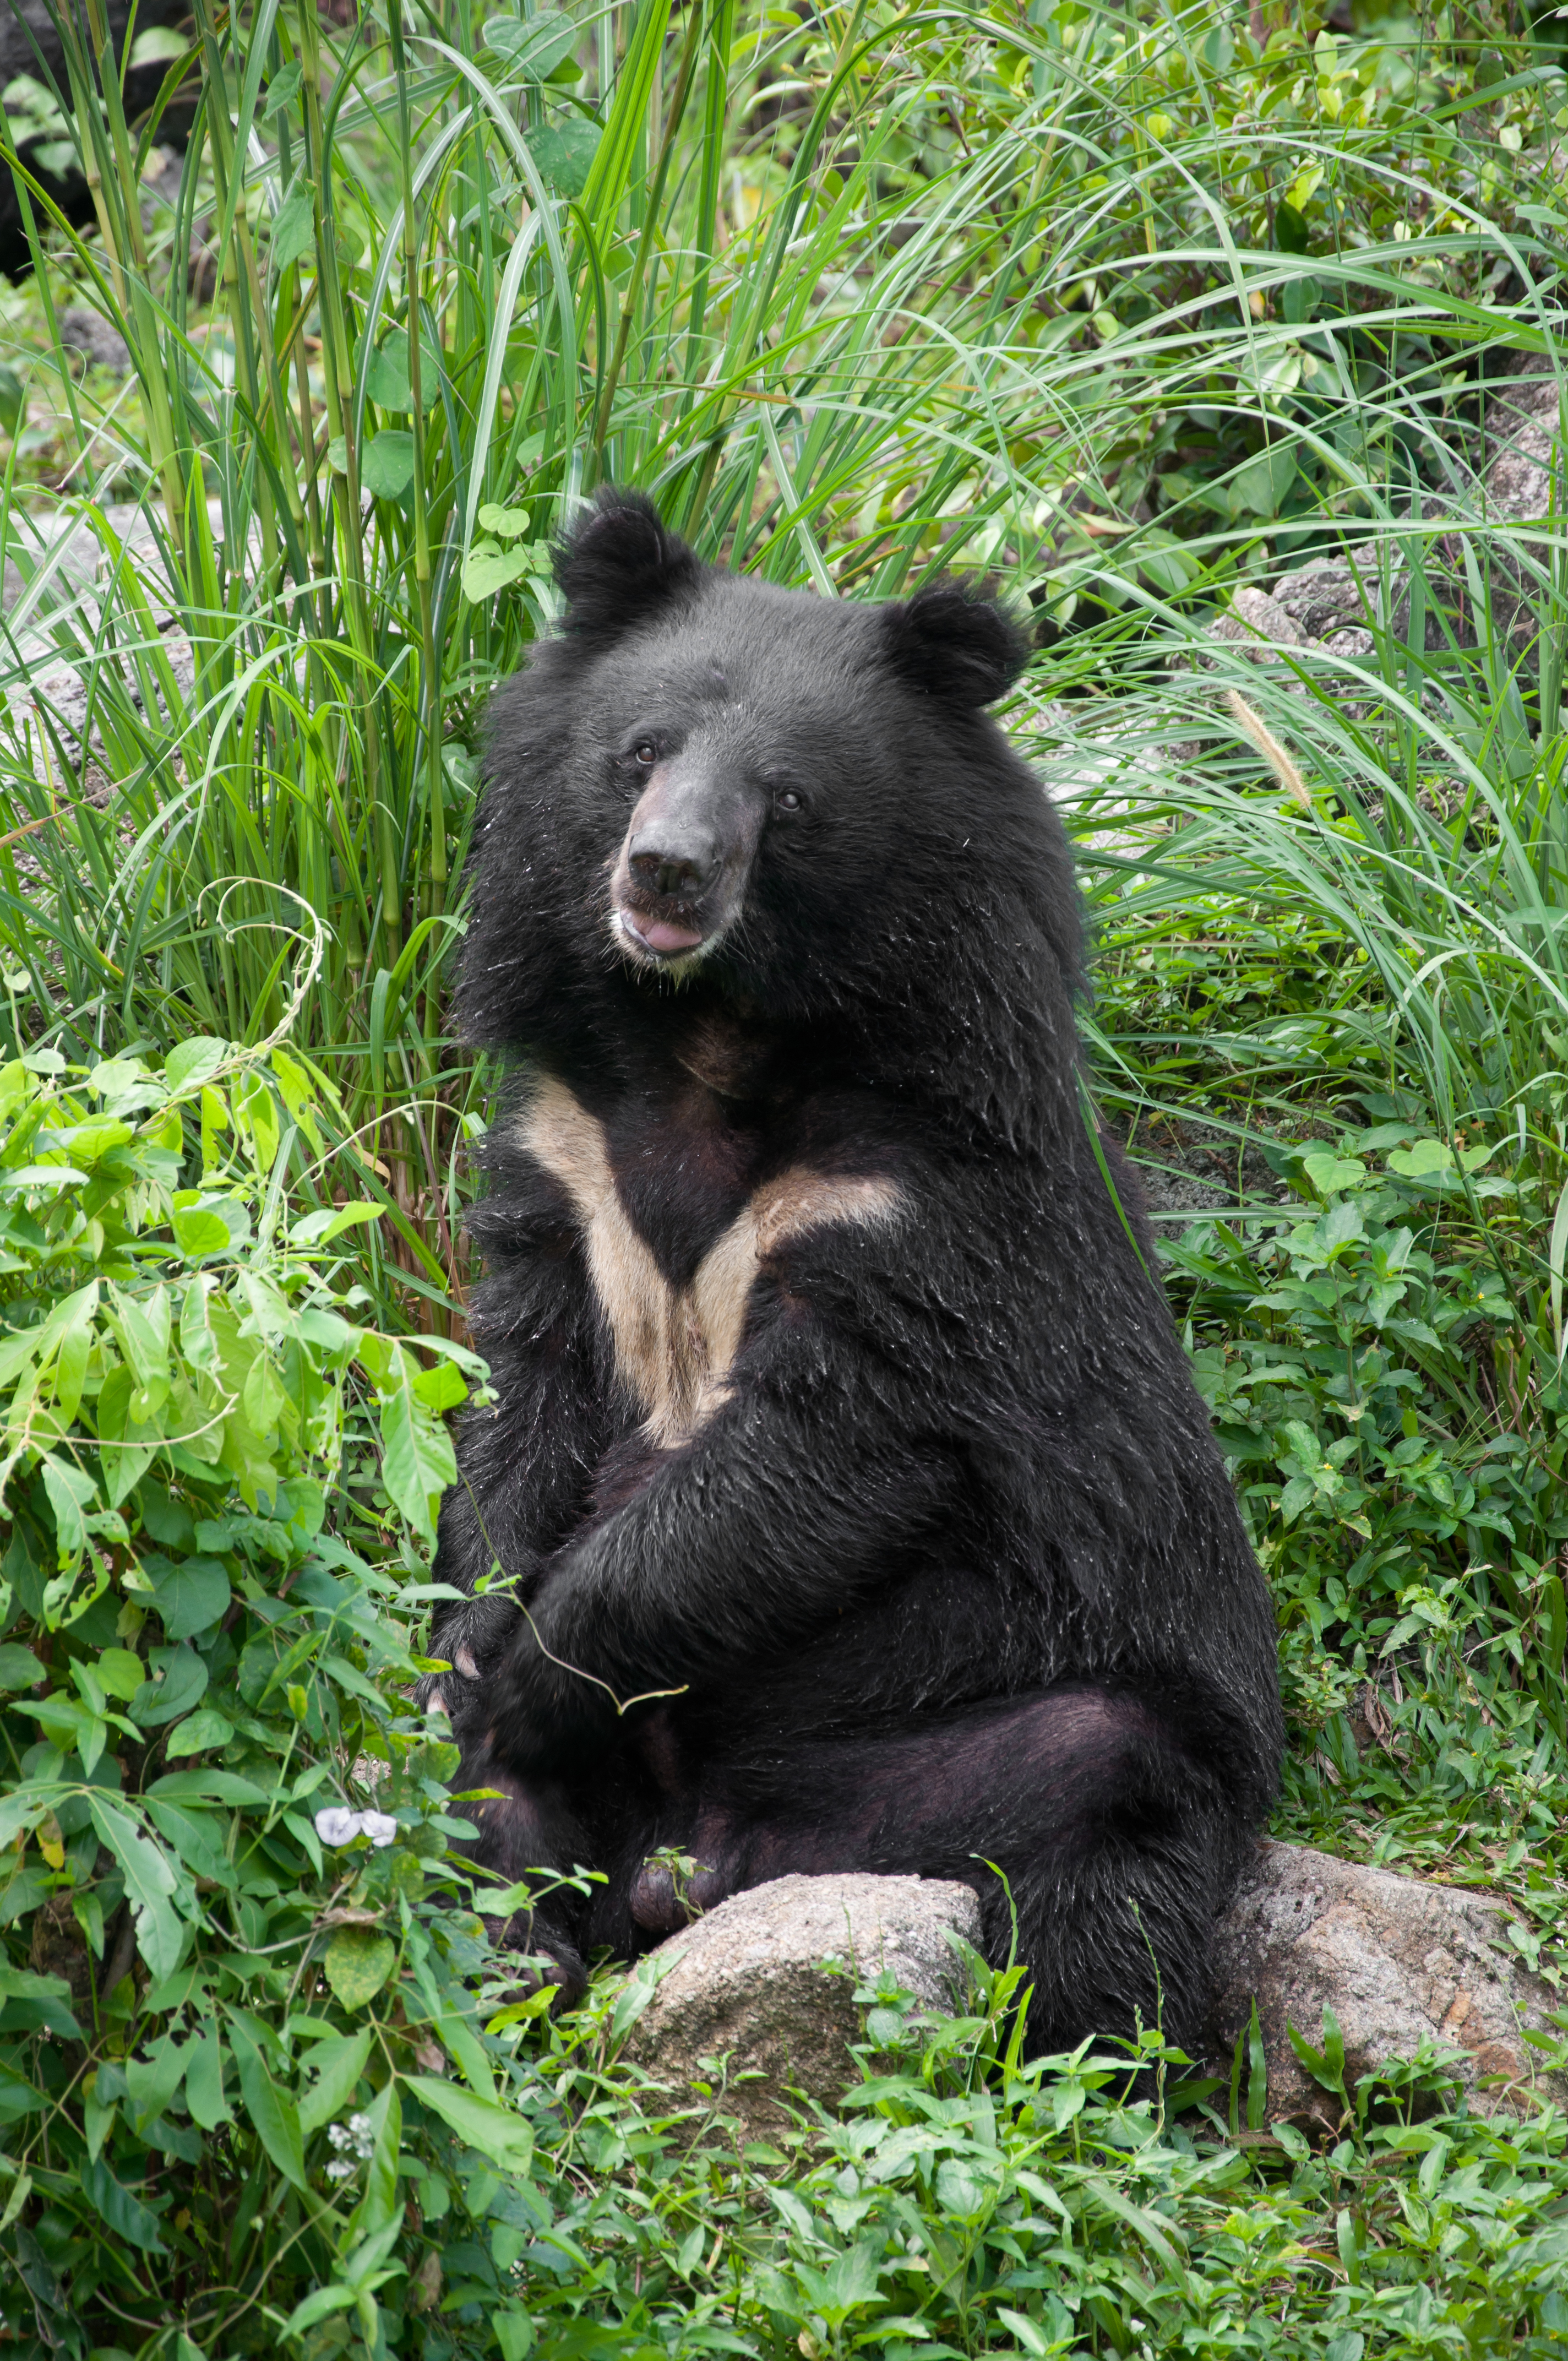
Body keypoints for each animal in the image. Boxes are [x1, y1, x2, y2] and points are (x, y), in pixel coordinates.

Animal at [422, 488, 1284, 2059]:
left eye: (788, 799)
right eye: (640, 751)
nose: (662, 873)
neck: (703, 1038)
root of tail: (695, 1859)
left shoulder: (915, 1204)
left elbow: (815, 1448)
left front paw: (534, 1666)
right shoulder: (562, 1152)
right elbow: (525, 1390)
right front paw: (475, 1634)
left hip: (1008, 1716)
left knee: (1096, 1862)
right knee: (472, 1820)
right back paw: (517, 1961)